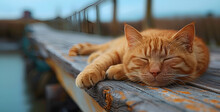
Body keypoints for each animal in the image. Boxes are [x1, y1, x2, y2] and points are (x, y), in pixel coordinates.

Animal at [69, 22, 210, 88]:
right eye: (144, 59)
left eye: (168, 59)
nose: (155, 71)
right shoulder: (116, 51)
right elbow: (102, 60)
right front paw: (87, 73)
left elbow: (129, 69)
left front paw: (116, 69)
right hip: (114, 45)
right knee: (102, 48)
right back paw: (89, 53)